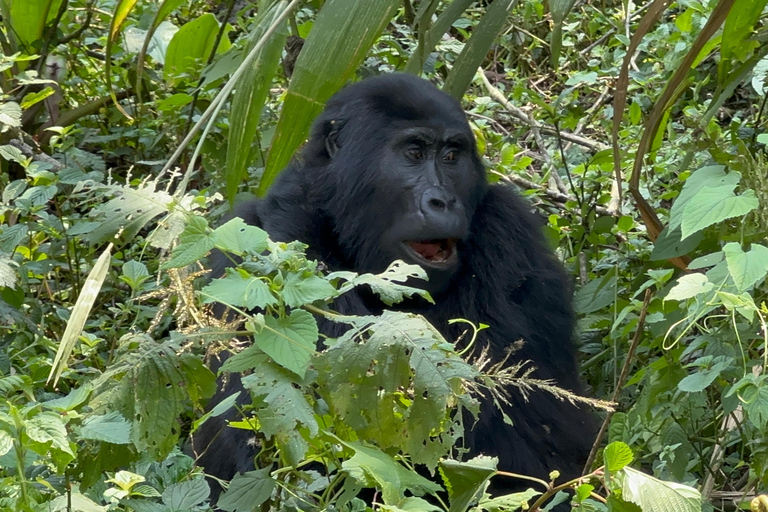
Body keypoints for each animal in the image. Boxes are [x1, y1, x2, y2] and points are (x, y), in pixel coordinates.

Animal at [194, 74, 600, 502]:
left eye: (452, 156)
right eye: (414, 153)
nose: (443, 201)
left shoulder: (514, 234)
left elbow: (517, 429)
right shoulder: (248, 251)